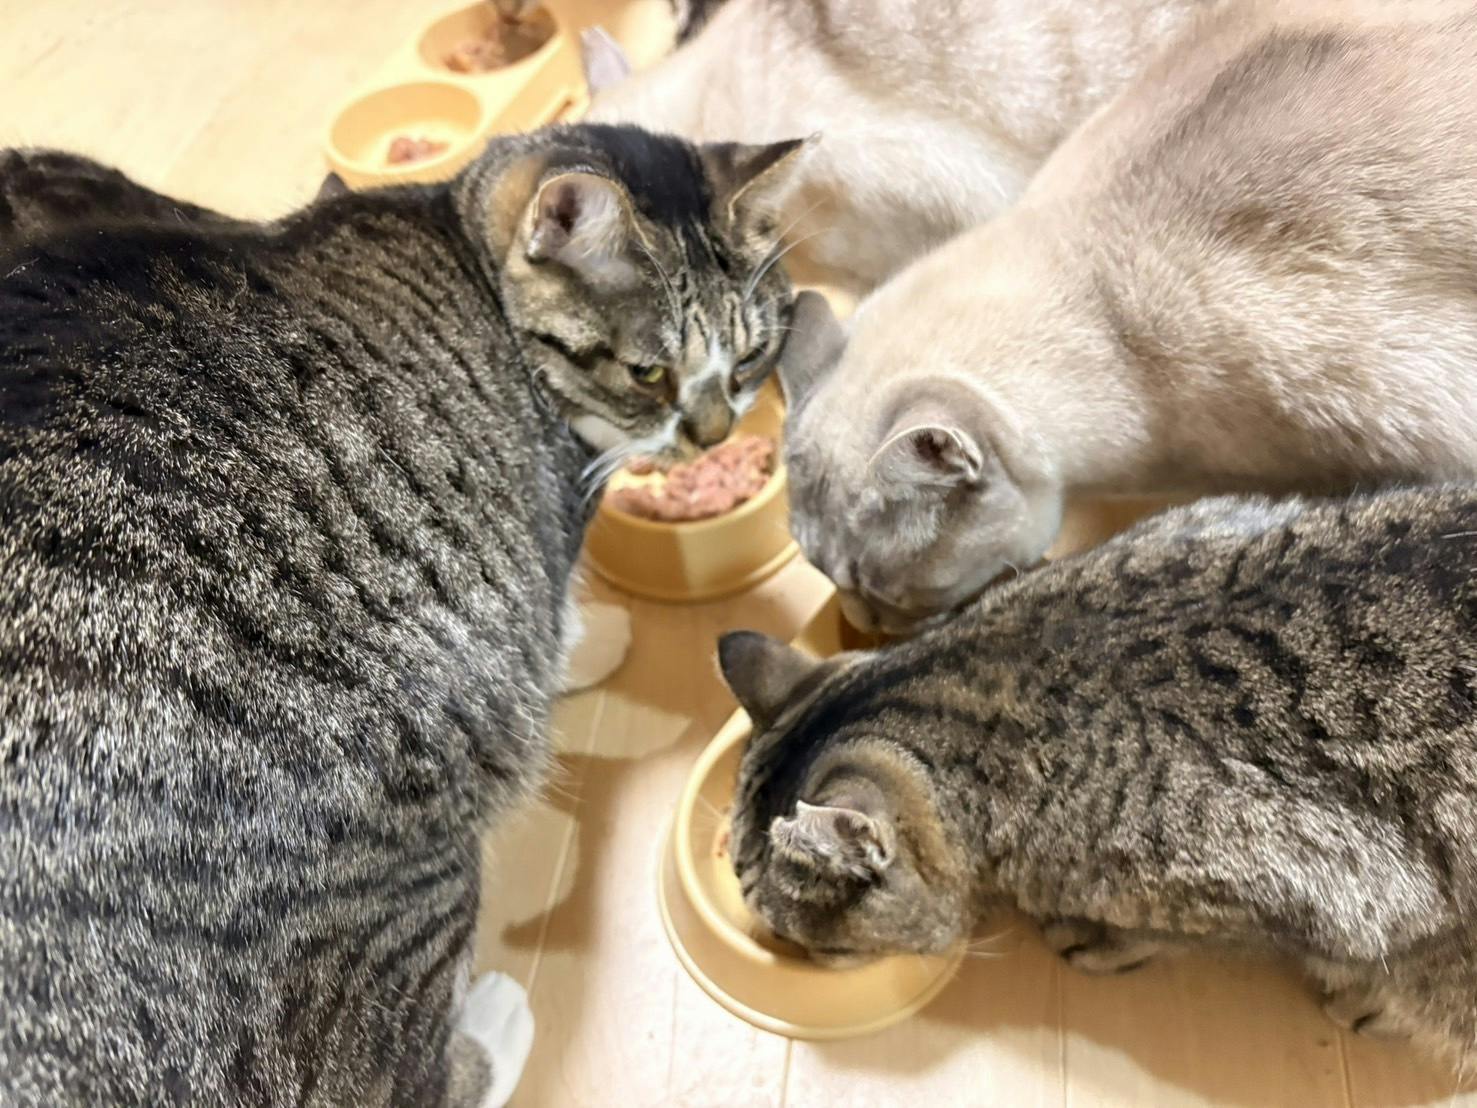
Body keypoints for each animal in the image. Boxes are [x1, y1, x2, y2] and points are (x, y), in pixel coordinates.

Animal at [0, 124, 801, 1107]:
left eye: (750, 359)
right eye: (649, 373)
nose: (713, 433)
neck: (454, 230)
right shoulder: (530, 531)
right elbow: (548, 611)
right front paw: (594, 641)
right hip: (399, 869)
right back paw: (495, 1024)